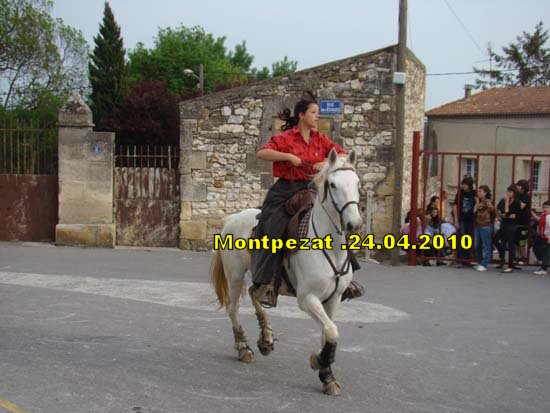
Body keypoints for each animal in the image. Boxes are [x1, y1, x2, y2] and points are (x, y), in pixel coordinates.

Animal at [210, 149, 362, 396]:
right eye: (332, 184)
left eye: (357, 183)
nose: (354, 224)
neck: (328, 246)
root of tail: (232, 218)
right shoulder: (307, 299)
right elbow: (331, 331)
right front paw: (319, 363)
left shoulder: (334, 299)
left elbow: (327, 333)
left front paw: (326, 373)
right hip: (234, 276)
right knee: (234, 308)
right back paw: (244, 348)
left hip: (264, 279)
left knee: (254, 294)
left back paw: (266, 338)